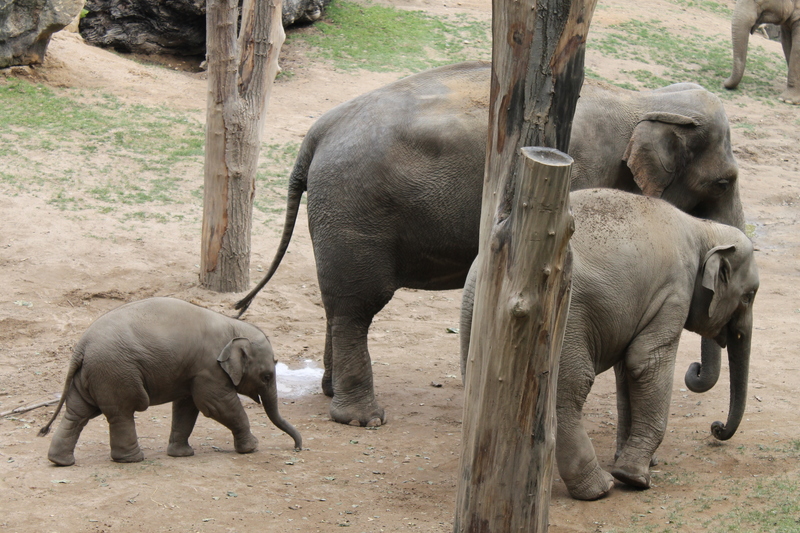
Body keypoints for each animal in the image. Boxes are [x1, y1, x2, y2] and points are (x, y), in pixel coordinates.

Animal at [38, 298, 300, 464]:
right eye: (267, 376)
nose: (298, 447)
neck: (233, 325)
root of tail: (82, 346)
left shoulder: (193, 371)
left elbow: (186, 407)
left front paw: (181, 454)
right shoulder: (209, 369)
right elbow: (216, 405)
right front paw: (252, 448)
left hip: (92, 373)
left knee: (78, 413)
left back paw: (60, 461)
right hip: (115, 372)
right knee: (122, 412)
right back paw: (132, 459)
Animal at [236, 61, 744, 428]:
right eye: (724, 181)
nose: (695, 377)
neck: (641, 100)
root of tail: (317, 132)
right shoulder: (582, 172)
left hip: (339, 212)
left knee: (338, 303)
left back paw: (331, 391)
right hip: (354, 208)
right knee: (357, 306)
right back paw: (364, 419)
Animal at [460, 189, 760, 500]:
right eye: (749, 296)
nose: (717, 427)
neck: (704, 229)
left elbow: (627, 370)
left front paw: (637, 461)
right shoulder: (673, 292)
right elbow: (646, 362)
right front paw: (635, 477)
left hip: (476, 321)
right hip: (566, 320)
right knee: (570, 389)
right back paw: (598, 487)